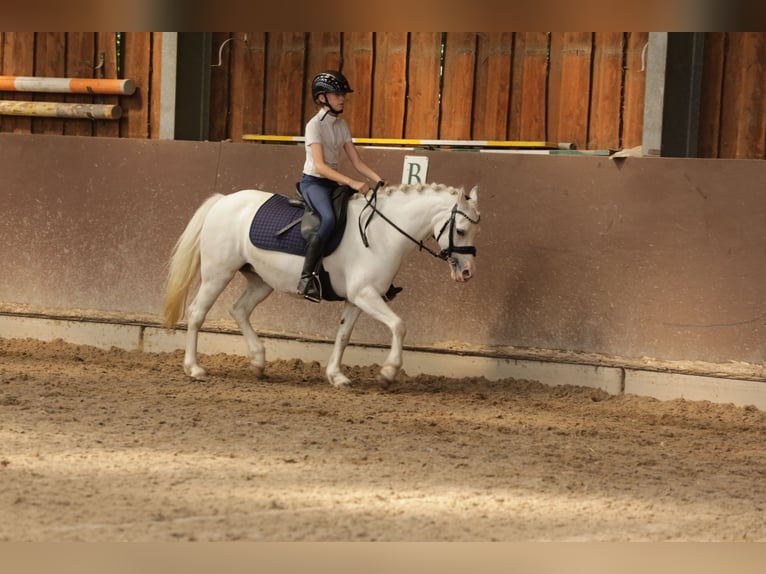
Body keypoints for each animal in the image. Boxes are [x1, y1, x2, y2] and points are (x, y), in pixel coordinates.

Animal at [164, 183, 480, 392]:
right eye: (461, 230)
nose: (467, 273)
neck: (382, 233)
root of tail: (222, 201)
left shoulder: (356, 299)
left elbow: (343, 335)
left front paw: (336, 376)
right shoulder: (366, 295)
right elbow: (399, 325)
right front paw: (388, 372)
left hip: (261, 280)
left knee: (239, 309)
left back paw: (258, 362)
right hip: (218, 273)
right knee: (197, 313)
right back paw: (194, 368)